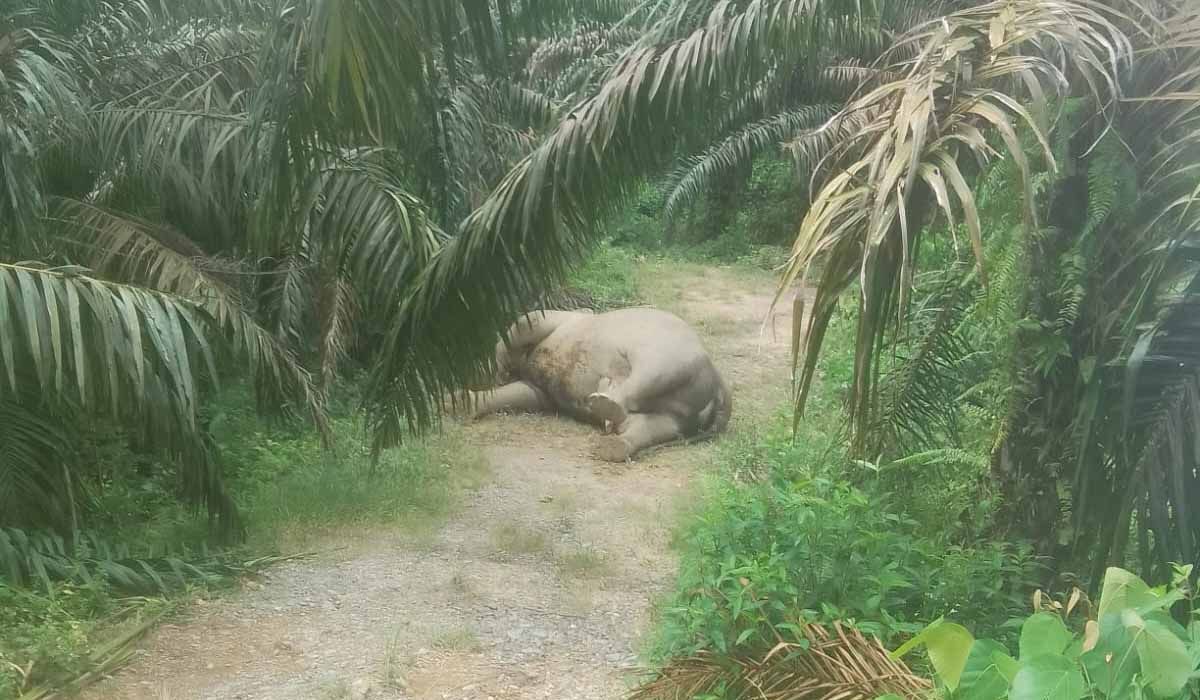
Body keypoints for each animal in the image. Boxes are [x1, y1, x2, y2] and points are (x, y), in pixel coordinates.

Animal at [464, 307, 732, 461]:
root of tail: (720, 386)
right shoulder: (540, 388)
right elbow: (526, 393)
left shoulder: (558, 321)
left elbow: (526, 322)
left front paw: (489, 372)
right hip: (686, 413)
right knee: (655, 425)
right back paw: (611, 440)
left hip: (672, 354)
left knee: (648, 373)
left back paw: (604, 402)